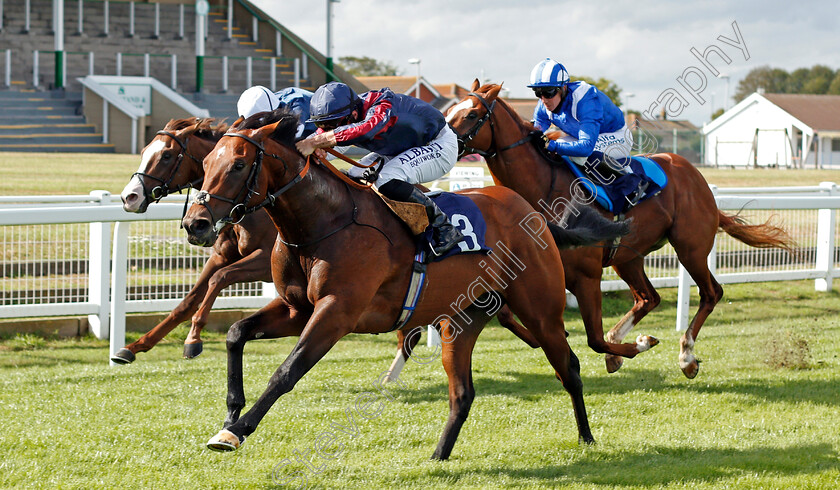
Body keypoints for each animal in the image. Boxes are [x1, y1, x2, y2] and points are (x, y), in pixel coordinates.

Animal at [182, 109, 632, 462]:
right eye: (207, 163)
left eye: (238, 165)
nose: (195, 224)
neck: (324, 222)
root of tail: (533, 213)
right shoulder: (298, 309)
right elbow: (237, 333)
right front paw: (231, 412)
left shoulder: (336, 312)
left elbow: (286, 371)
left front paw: (235, 431)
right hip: (460, 322)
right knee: (462, 393)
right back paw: (439, 455)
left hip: (541, 309)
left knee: (569, 367)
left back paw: (588, 436)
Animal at [446, 81, 796, 378]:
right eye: (450, 111)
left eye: (472, 114)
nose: (443, 139)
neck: (542, 190)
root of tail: (694, 175)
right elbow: (509, 318)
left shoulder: (585, 276)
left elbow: (594, 339)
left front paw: (637, 345)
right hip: (627, 257)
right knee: (648, 298)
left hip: (691, 248)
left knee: (711, 293)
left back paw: (686, 356)